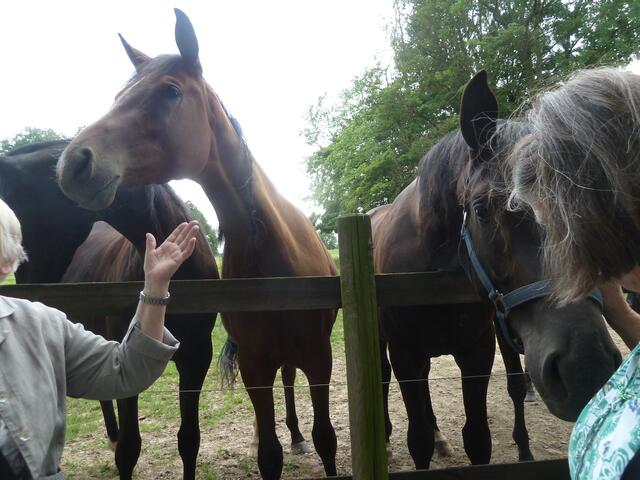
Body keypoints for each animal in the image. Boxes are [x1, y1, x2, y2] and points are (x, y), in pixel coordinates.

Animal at [56, 10, 338, 479]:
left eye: (170, 91)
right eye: (118, 95)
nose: (73, 163)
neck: (275, 254)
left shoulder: (320, 357)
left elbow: (327, 440)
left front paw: (309, 440)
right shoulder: (254, 366)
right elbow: (269, 455)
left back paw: (298, 435)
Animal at [370, 71, 621, 469]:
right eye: (481, 210)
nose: (585, 365)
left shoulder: (477, 351)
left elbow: (477, 439)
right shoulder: (405, 354)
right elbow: (417, 440)